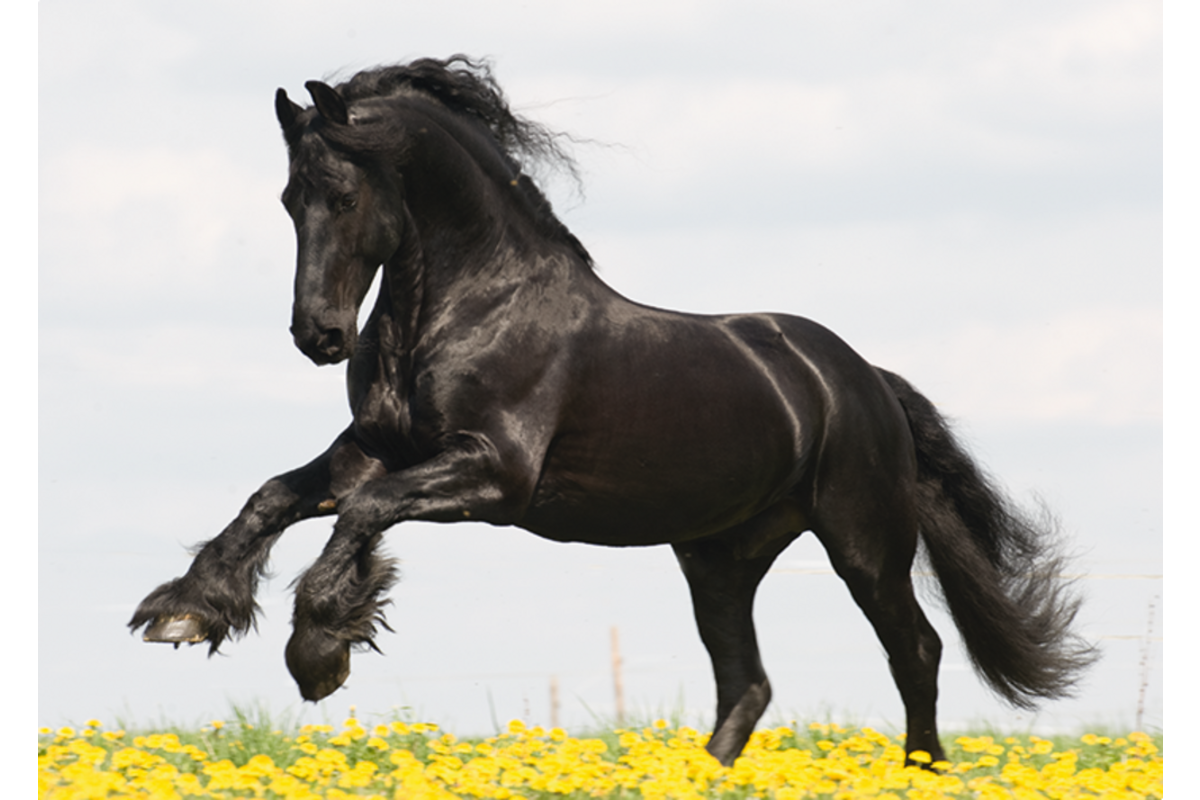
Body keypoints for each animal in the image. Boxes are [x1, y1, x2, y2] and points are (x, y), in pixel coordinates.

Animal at [130, 55, 1095, 766]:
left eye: (344, 195)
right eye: (289, 201)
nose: (319, 336)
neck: (471, 305)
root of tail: (861, 378)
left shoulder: (495, 478)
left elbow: (360, 515)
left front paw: (321, 649)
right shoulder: (375, 447)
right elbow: (275, 497)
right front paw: (185, 611)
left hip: (863, 539)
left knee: (915, 652)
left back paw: (919, 771)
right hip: (721, 557)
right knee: (747, 683)